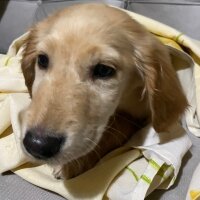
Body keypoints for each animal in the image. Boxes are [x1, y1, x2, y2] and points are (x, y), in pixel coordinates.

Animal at [19, 3, 188, 179]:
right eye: (42, 59)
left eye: (103, 70)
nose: (37, 145)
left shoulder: (138, 117)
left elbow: (117, 129)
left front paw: (71, 164)